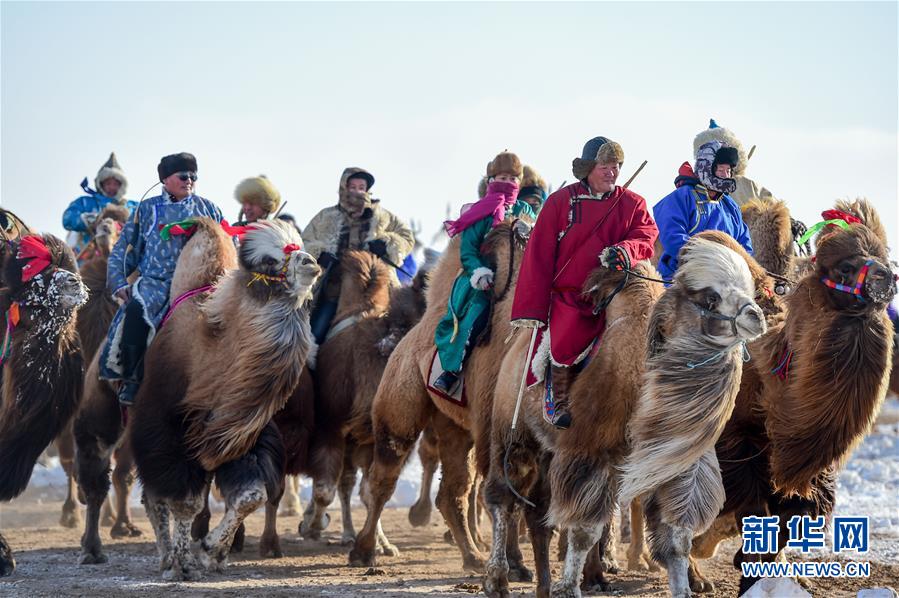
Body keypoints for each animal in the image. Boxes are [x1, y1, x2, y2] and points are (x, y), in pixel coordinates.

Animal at [130, 220, 320, 580]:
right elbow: (185, 501)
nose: (311, 263)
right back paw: (165, 558)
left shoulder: (242, 439)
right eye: (269, 262)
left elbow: (251, 496)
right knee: (154, 496)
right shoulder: (168, 434)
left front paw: (212, 551)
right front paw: (183, 564)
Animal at [350, 218, 536, 576]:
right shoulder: (498, 428)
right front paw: (516, 565)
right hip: (401, 403)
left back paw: (472, 556)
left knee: (452, 492)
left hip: (453, 423)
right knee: (384, 476)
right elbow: (509, 491)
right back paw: (364, 551)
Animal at [486, 258, 668, 598]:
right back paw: (497, 580)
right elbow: (584, 529)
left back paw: (547, 584)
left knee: (538, 516)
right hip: (515, 438)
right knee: (503, 498)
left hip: (549, 453)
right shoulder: (590, 451)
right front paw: (569, 587)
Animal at [688, 205, 892, 596]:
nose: (885, 278)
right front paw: (748, 572)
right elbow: (751, 506)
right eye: (845, 266)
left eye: (886, 257)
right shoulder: (737, 443)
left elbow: (795, 513)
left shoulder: (804, 466)